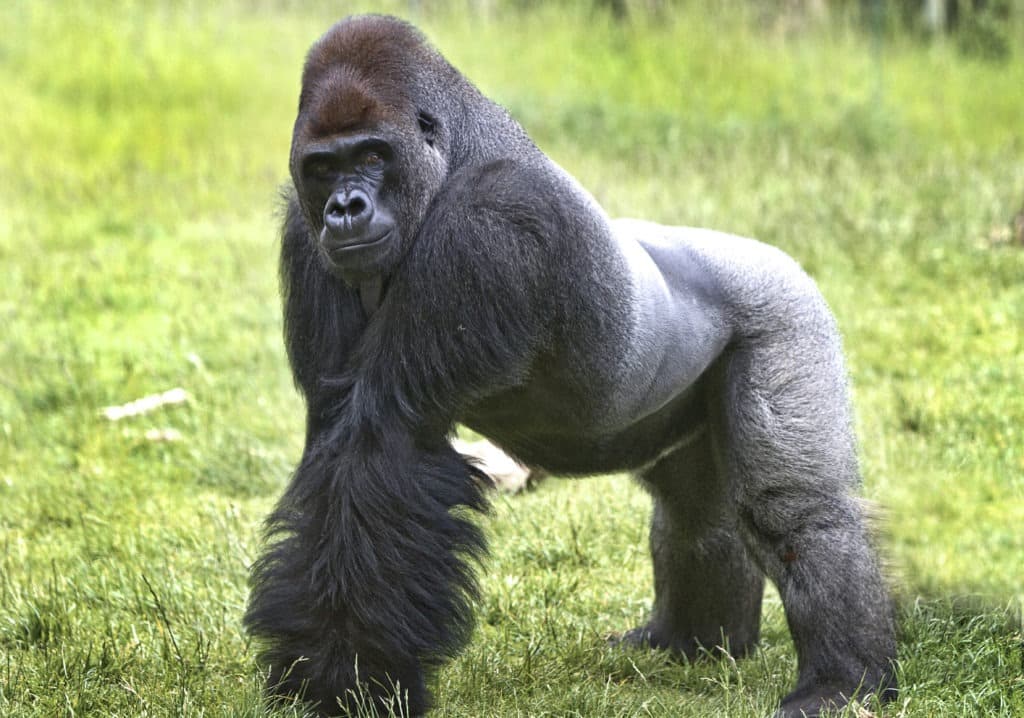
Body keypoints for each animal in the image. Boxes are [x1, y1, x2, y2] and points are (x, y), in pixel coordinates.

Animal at [245, 12, 897, 716]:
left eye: (371, 156)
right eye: (323, 166)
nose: (344, 208)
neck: (455, 153)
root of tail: (770, 254)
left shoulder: (490, 222)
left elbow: (382, 448)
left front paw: (347, 682)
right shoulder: (306, 234)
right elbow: (337, 438)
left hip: (785, 308)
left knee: (795, 510)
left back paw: (844, 680)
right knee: (693, 512)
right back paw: (695, 641)